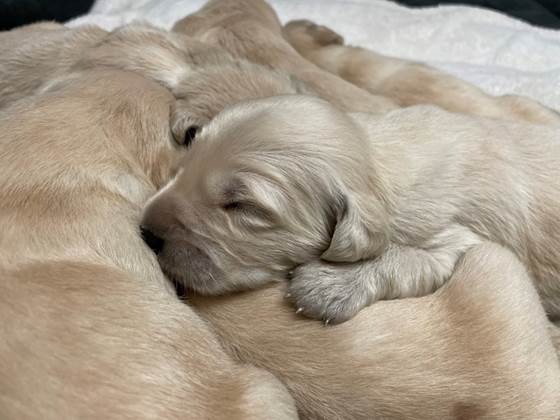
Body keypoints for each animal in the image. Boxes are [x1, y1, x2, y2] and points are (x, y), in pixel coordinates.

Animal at [141, 95, 560, 324]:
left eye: (240, 206)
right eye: (183, 167)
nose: (145, 232)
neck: (374, 161)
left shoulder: (457, 235)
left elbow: (408, 257)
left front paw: (330, 284)